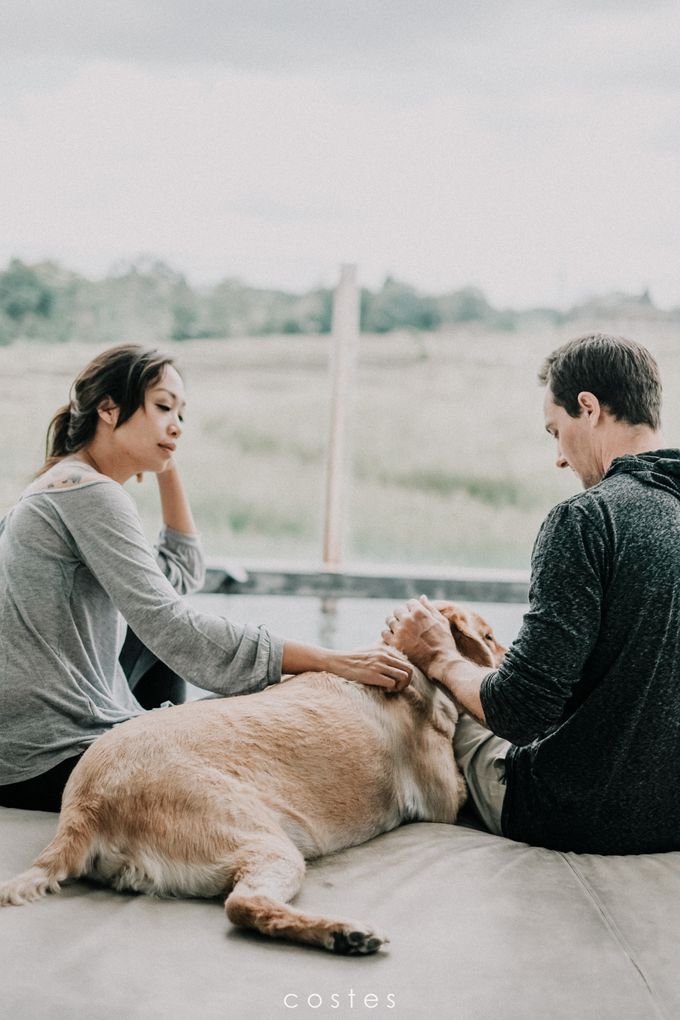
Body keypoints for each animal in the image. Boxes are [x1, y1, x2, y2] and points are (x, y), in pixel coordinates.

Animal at [0, 599, 505, 950]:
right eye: (491, 635)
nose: (505, 665)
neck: (410, 666)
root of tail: (85, 806)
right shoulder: (445, 798)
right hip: (265, 843)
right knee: (244, 906)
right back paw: (342, 932)